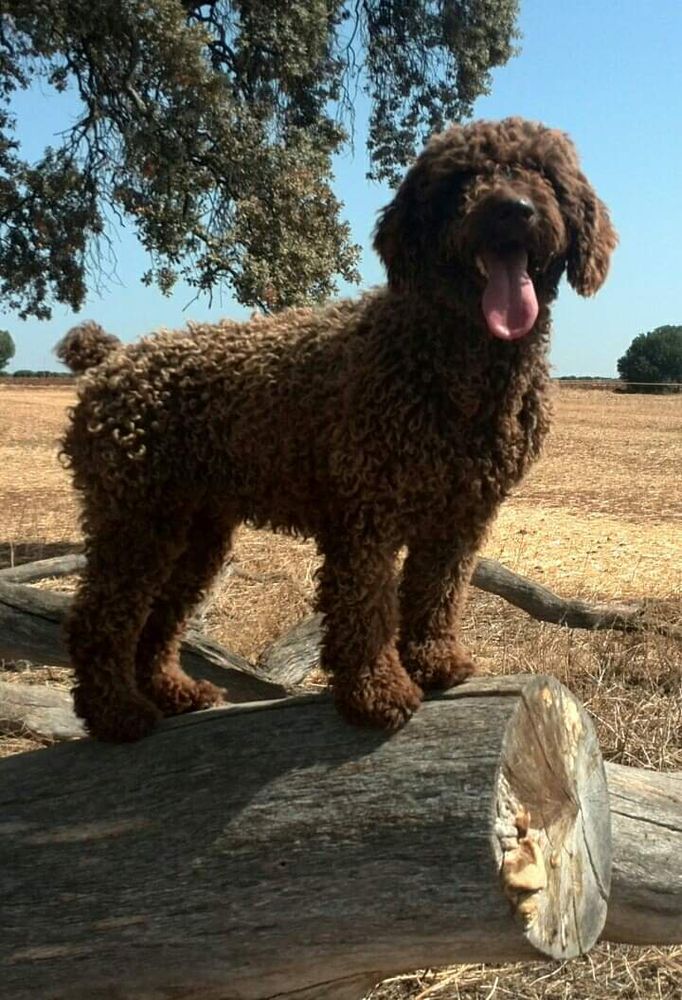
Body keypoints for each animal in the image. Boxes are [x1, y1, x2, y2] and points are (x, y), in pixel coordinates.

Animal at [55, 119, 612, 744]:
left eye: (544, 173)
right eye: (461, 178)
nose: (512, 210)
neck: (452, 359)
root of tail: (112, 358)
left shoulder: (459, 515)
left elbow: (436, 593)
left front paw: (434, 661)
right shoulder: (367, 512)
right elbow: (366, 609)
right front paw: (377, 693)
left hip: (194, 531)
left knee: (160, 618)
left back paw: (174, 691)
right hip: (136, 518)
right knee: (99, 620)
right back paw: (116, 713)